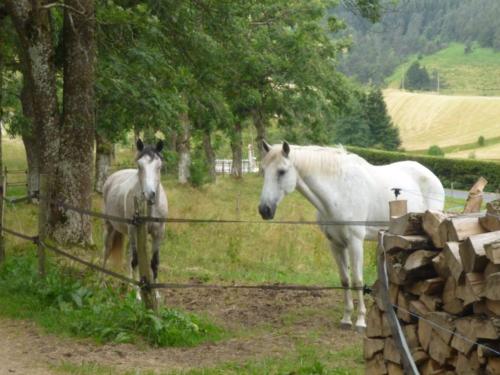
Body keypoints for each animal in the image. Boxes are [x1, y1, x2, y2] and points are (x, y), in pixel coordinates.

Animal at [101, 140, 168, 298]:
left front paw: (156, 294)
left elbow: (154, 262)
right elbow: (136, 261)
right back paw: (100, 282)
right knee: (107, 251)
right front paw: (138, 294)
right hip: (111, 228)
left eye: (159, 166)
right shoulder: (133, 229)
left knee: (129, 255)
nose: (150, 194)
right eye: (139, 166)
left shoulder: (158, 233)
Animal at [260, 141, 444, 332]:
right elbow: (345, 280)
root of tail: (430, 174)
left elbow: (357, 281)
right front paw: (347, 319)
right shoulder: (336, 244)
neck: (339, 192)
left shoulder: (355, 243)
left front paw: (361, 322)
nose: (264, 210)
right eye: (263, 170)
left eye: (281, 171)